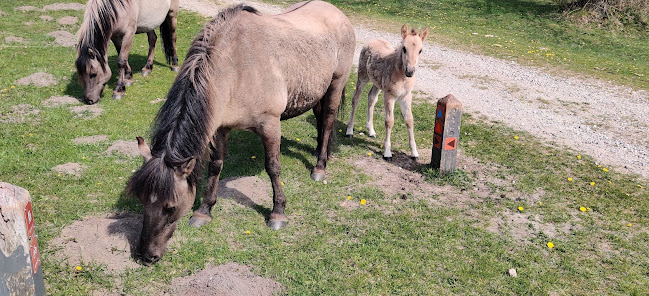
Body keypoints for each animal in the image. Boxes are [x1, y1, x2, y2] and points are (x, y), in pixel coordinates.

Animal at [124, 1, 352, 266]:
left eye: (170, 207)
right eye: (142, 200)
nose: (146, 256)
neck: (236, 67)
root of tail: (337, 12)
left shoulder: (270, 124)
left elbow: (273, 167)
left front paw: (278, 213)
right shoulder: (220, 128)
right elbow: (216, 166)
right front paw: (204, 211)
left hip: (336, 84)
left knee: (328, 120)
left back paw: (320, 166)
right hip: (316, 90)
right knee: (319, 117)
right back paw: (318, 152)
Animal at [346, 24, 428, 162]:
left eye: (420, 50)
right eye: (404, 48)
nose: (410, 71)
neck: (401, 76)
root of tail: (372, 40)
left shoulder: (406, 96)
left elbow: (409, 120)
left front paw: (414, 153)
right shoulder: (389, 96)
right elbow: (389, 121)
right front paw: (387, 152)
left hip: (377, 84)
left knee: (371, 98)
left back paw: (371, 131)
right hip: (362, 76)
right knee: (355, 99)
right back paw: (349, 131)